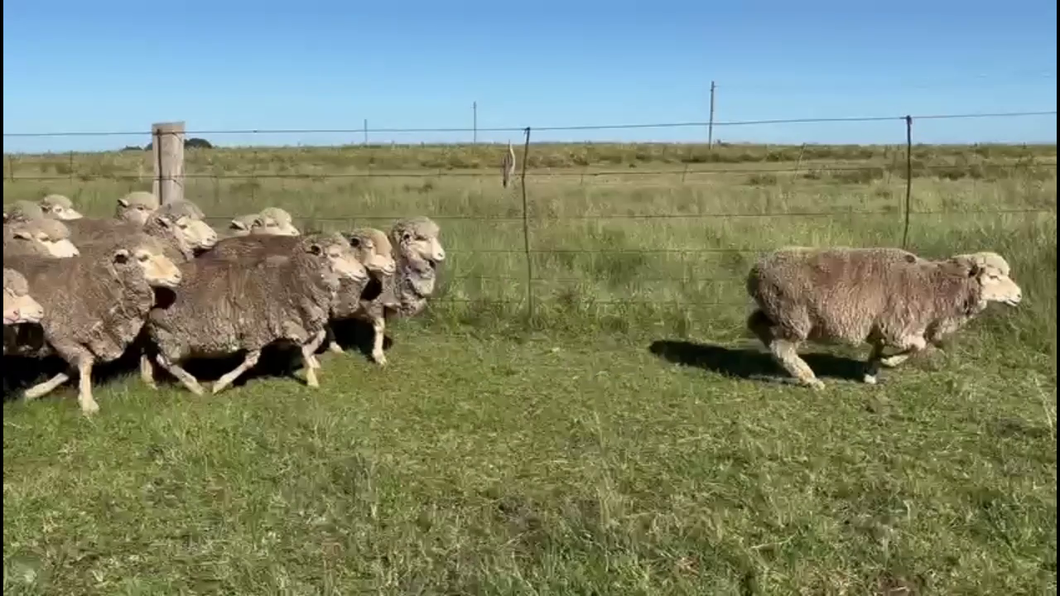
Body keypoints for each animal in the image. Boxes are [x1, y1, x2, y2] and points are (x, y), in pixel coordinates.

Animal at [5, 232, 183, 413]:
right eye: (143, 258)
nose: (178, 275)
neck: (94, 285)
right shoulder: (60, 336)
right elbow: (85, 364)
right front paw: (88, 404)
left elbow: (71, 369)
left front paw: (34, 391)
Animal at [143, 232, 368, 394]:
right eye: (335, 255)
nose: (363, 273)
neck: (289, 279)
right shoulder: (257, 329)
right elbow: (251, 360)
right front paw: (220, 384)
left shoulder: (289, 322)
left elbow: (309, 344)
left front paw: (310, 373)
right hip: (171, 334)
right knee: (165, 360)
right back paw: (193, 385)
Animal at [741, 244, 1021, 388]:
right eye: (994, 277)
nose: (1018, 296)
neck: (935, 286)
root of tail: (756, 271)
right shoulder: (899, 327)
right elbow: (919, 346)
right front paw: (889, 363)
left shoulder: (885, 326)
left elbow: (880, 348)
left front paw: (871, 373)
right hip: (794, 317)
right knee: (782, 347)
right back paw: (809, 378)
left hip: (776, 311)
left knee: (756, 324)